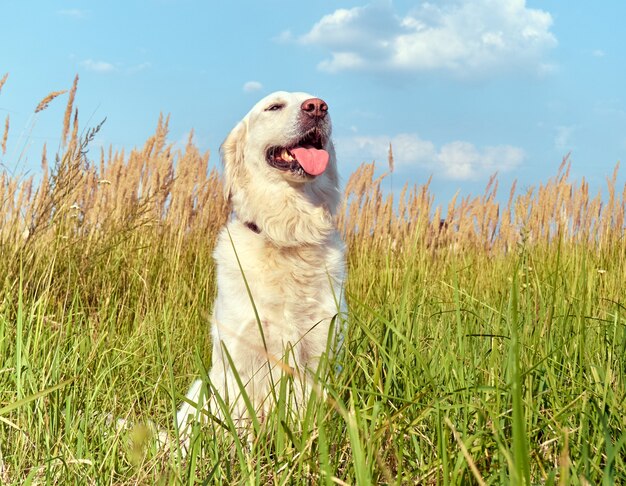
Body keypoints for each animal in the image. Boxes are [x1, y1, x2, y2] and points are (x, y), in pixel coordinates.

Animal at [176, 91, 346, 448]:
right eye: (274, 107)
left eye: (319, 104)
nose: (317, 107)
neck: (287, 236)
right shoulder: (241, 359)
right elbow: (240, 424)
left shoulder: (317, 355)